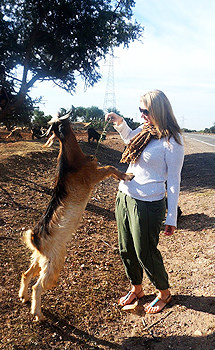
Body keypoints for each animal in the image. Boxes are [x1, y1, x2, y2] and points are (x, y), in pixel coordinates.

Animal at [18, 113, 134, 322]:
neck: (73, 161)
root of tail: (35, 238)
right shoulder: (94, 176)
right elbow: (110, 167)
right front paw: (127, 176)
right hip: (54, 261)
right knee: (38, 286)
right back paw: (38, 314)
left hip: (39, 259)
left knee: (26, 274)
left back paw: (23, 297)